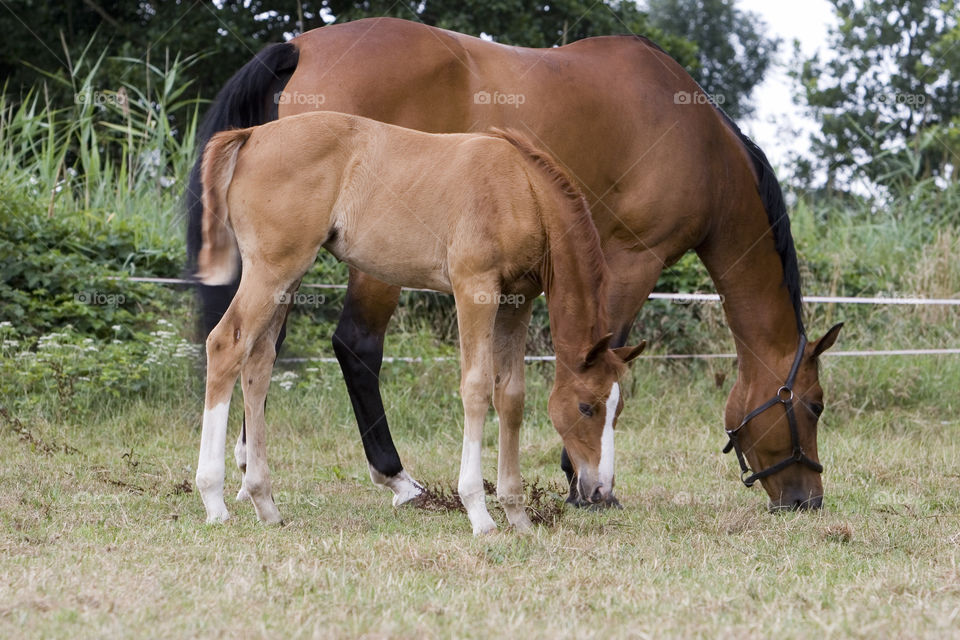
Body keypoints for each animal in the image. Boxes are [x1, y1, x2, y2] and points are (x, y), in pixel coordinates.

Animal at [193, 112, 644, 532]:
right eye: (586, 407)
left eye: (619, 410)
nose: (600, 490)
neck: (522, 189)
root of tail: (252, 134)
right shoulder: (475, 289)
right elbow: (477, 387)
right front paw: (480, 513)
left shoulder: (517, 302)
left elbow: (511, 396)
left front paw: (517, 515)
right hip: (272, 270)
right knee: (226, 345)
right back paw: (214, 500)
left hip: (288, 278)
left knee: (259, 362)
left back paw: (264, 502)